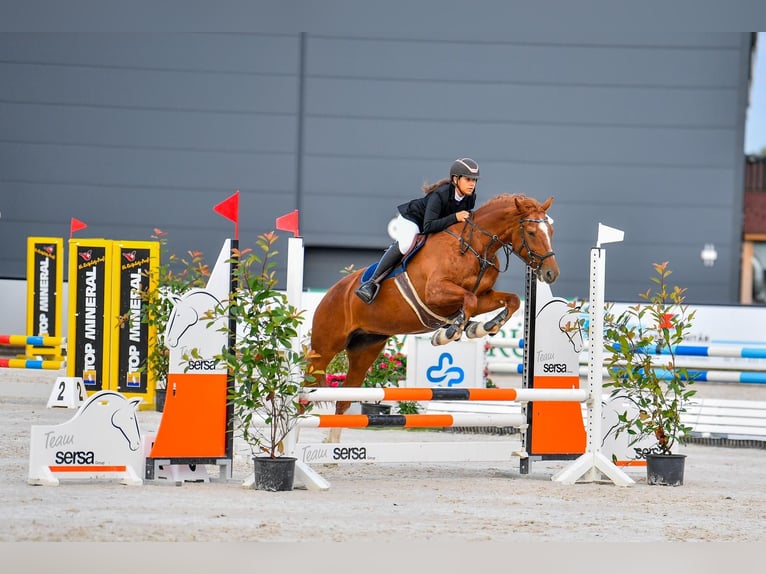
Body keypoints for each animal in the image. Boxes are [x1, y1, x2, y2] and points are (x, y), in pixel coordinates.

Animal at [308, 194, 560, 418]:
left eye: (551, 232)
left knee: (343, 399)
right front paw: (449, 333)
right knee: (307, 390)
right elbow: (469, 299)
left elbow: (510, 300)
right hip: (325, 348)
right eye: (531, 233)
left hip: (366, 348)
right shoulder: (435, 293)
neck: (476, 246)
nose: (551, 274)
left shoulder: (483, 296)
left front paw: (483, 327)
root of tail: (332, 292)